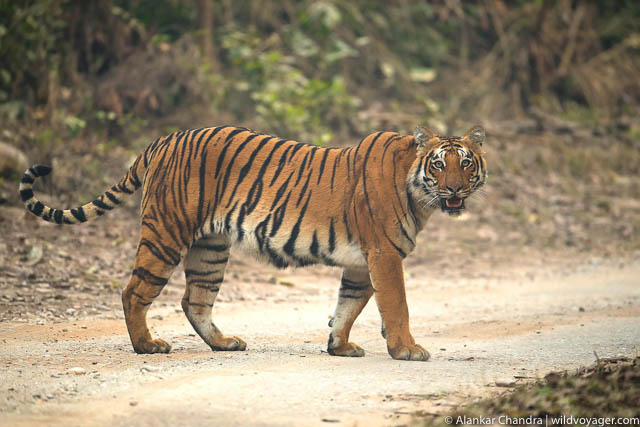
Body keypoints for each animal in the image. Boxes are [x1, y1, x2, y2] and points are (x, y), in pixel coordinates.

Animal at [21, 123, 490, 362]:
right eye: (439, 165)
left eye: (466, 164)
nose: (454, 190)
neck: (419, 192)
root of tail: (162, 140)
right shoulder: (384, 254)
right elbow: (396, 306)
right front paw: (406, 349)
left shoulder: (361, 262)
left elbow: (348, 306)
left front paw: (338, 346)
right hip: (166, 234)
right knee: (134, 291)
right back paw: (147, 346)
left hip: (210, 247)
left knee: (194, 300)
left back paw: (224, 343)